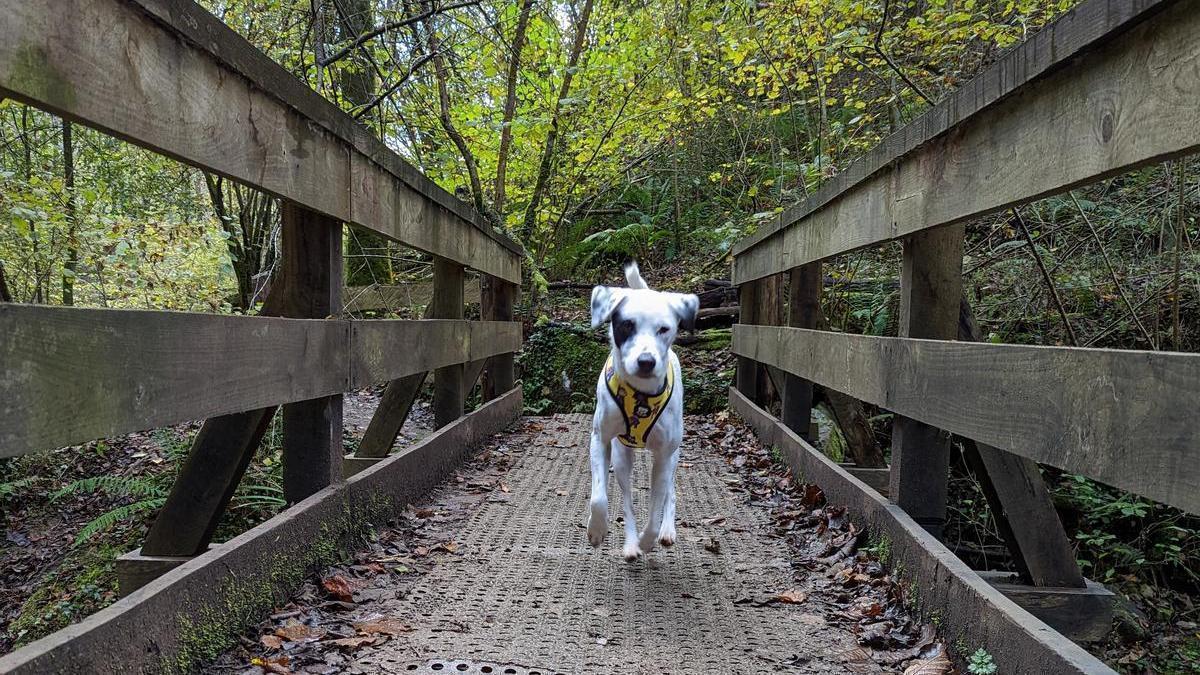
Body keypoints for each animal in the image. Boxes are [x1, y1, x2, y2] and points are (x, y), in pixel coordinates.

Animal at [585, 258, 700, 557]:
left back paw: (665, 531)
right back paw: (630, 543)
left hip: (673, 455)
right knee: (627, 501)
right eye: (627, 325)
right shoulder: (600, 439)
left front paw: (649, 538)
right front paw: (597, 530)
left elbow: (655, 507)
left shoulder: (663, 455)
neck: (640, 395)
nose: (646, 361)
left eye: (664, 329)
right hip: (622, 457)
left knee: (670, 492)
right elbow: (599, 498)